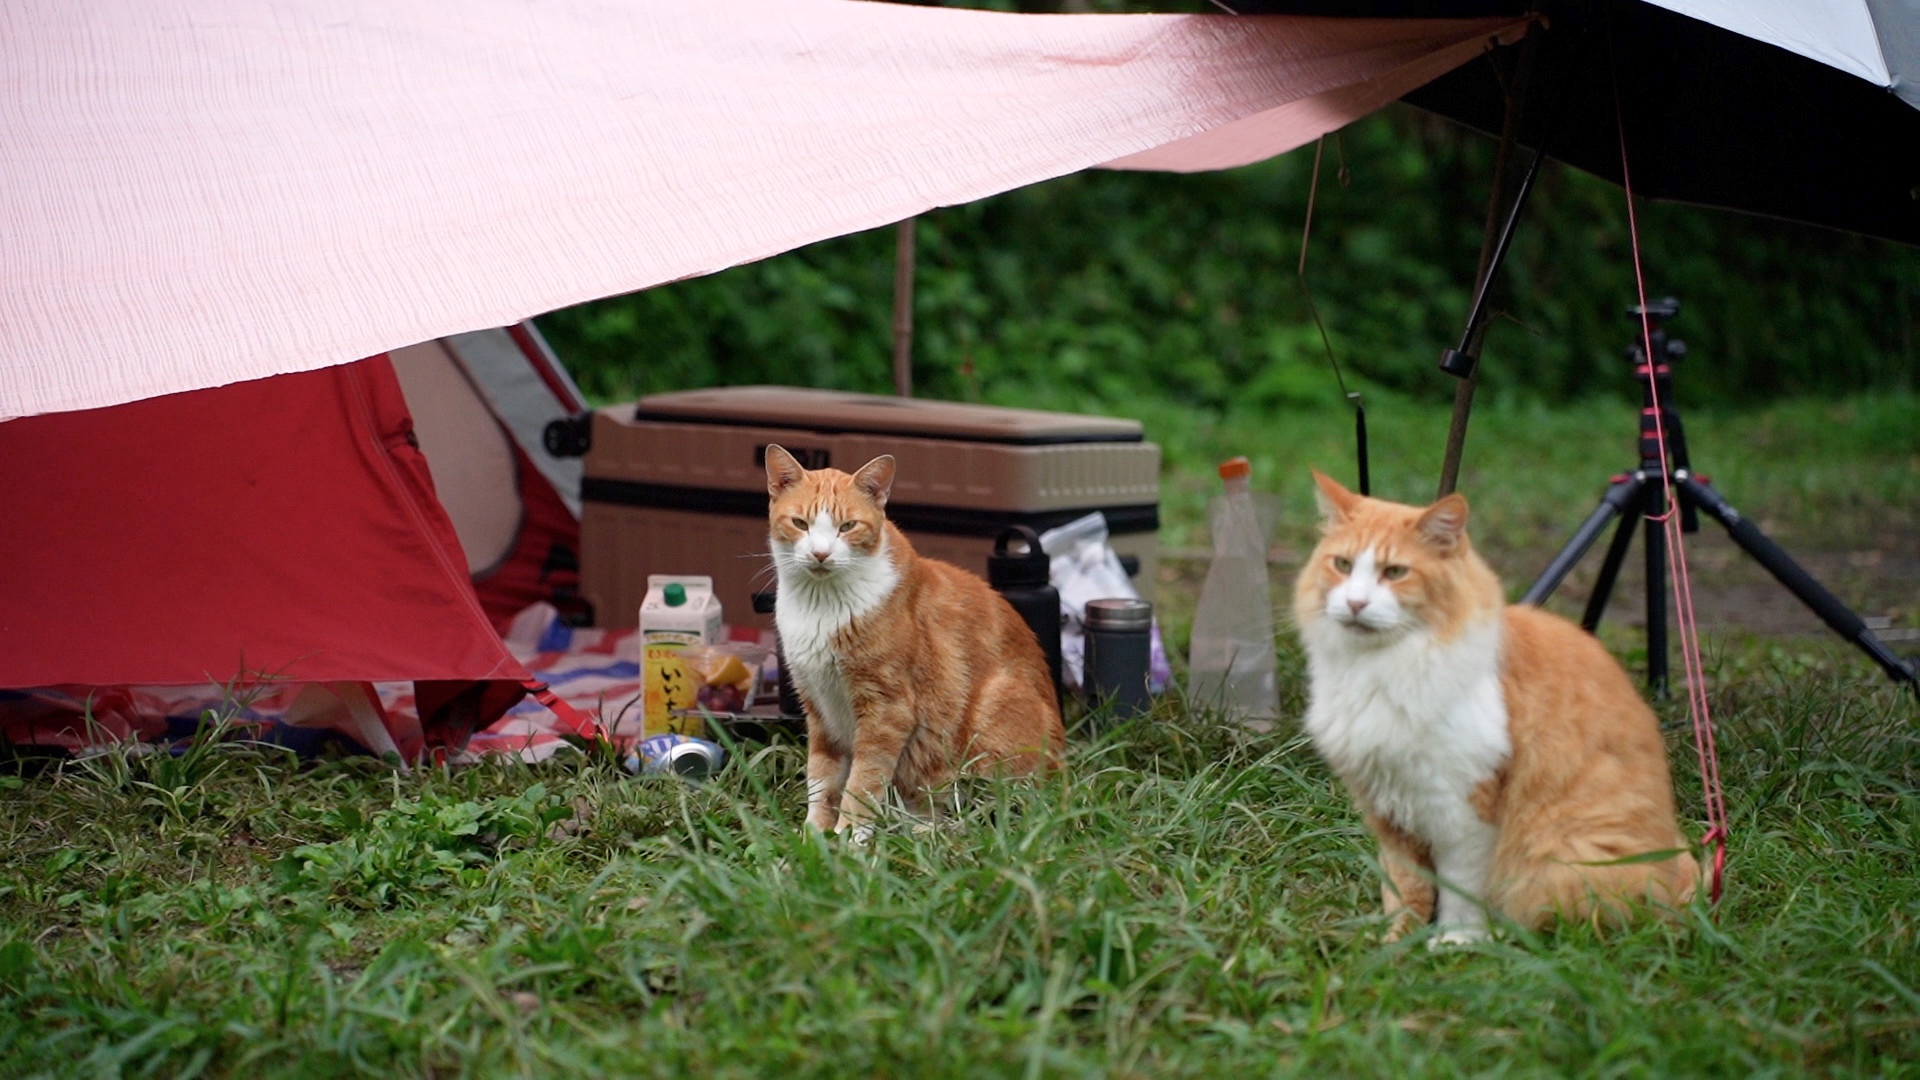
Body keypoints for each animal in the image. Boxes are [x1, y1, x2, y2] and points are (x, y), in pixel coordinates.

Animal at [764, 441, 1067, 837]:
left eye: (848, 527)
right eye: (800, 523)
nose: (820, 553)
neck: (820, 605)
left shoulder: (887, 709)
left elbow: (863, 780)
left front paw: (850, 836)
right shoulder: (818, 706)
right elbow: (821, 777)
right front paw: (813, 835)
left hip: (995, 715)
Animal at [1290, 466, 1697, 937]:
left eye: (1394, 572)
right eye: (1342, 565)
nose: (1356, 603)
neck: (1382, 667)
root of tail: (1676, 887)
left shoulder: (1464, 810)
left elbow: (1460, 892)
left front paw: (1456, 940)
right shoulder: (1390, 810)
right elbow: (1407, 890)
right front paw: (1398, 941)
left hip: (1563, 857)